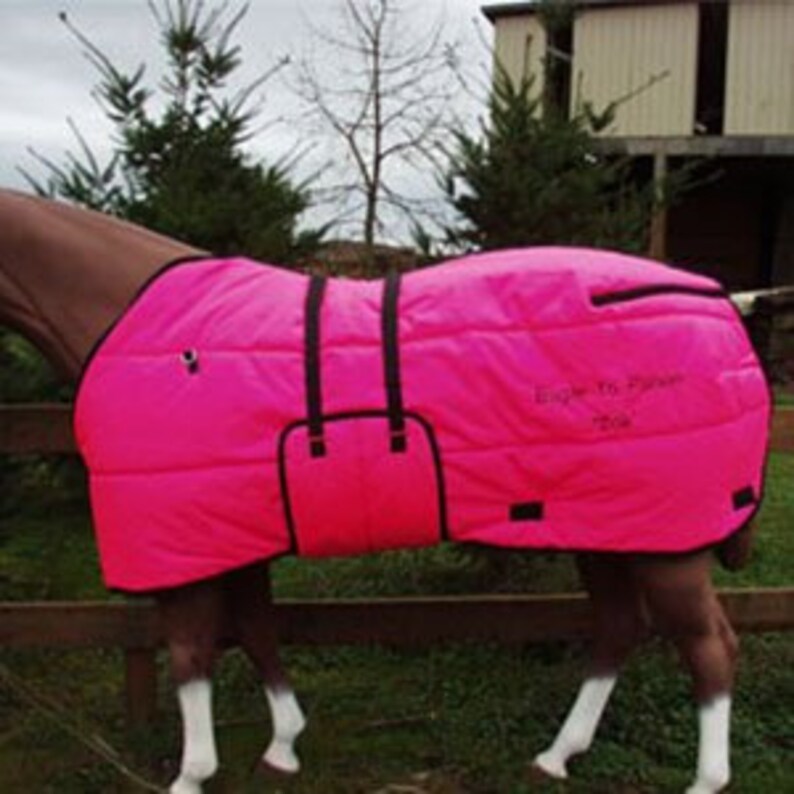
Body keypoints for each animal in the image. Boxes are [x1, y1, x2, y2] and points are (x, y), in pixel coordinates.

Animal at [0, 189, 769, 794]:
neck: (136, 323)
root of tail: (713, 298)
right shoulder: (240, 531)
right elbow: (254, 631)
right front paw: (283, 744)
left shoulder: (189, 541)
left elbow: (191, 653)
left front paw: (192, 775)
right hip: (602, 527)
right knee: (617, 629)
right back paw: (555, 756)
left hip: (667, 543)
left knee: (710, 646)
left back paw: (703, 780)